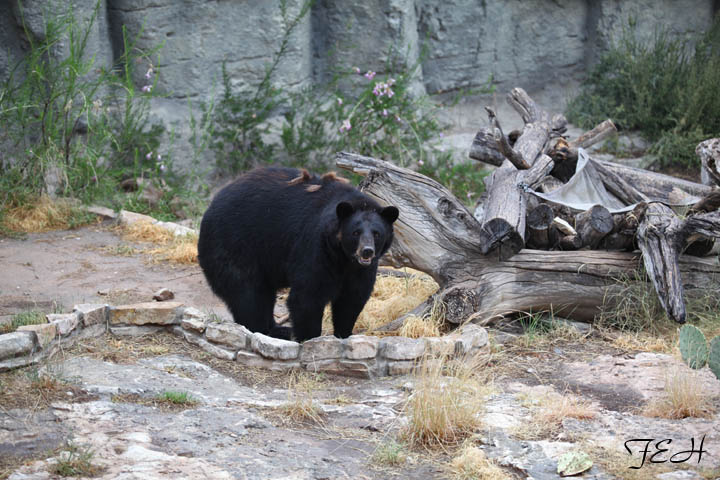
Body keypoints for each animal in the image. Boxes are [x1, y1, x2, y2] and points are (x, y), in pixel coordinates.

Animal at [197, 166, 399, 342]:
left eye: (377, 233)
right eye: (355, 232)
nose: (367, 251)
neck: (344, 258)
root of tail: (210, 208)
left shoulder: (361, 269)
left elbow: (352, 298)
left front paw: (343, 334)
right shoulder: (316, 247)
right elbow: (307, 295)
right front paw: (310, 339)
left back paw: (278, 329)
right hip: (235, 246)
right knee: (248, 294)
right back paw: (265, 329)